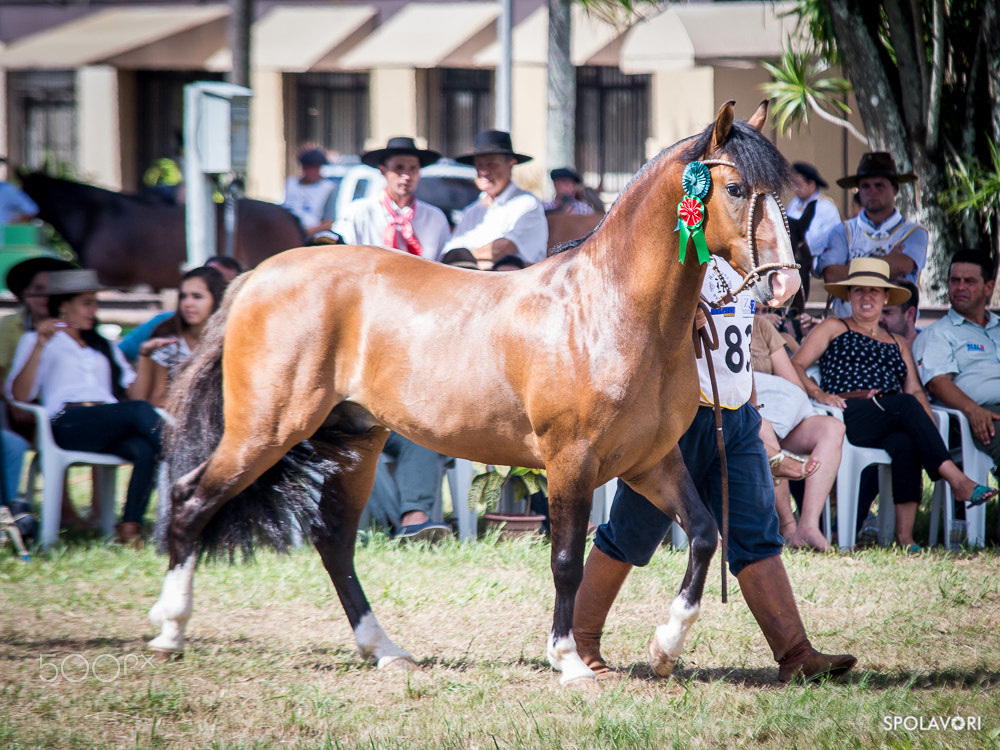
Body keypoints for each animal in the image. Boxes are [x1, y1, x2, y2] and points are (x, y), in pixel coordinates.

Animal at [152, 101, 800, 688]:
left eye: (784, 192)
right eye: (736, 188)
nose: (786, 285)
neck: (608, 309)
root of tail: (258, 275)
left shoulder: (649, 461)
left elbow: (704, 535)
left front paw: (665, 647)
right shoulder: (571, 461)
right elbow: (567, 560)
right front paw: (568, 661)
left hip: (357, 441)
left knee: (333, 540)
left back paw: (384, 649)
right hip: (267, 428)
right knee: (190, 500)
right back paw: (170, 631)